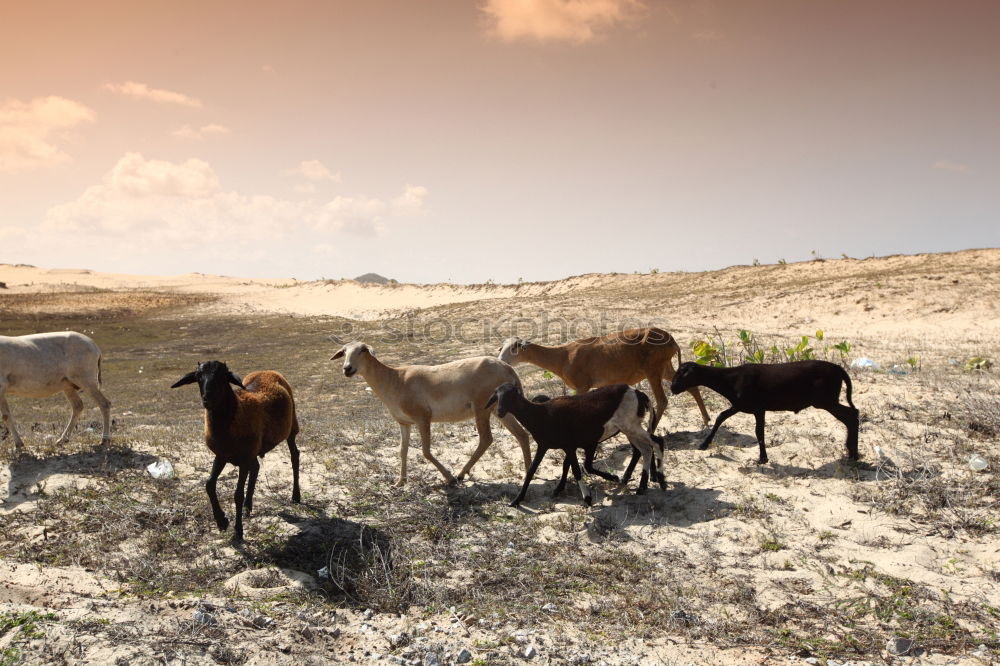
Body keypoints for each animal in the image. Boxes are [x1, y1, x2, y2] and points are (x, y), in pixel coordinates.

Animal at [668, 358, 856, 462]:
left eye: (682, 374)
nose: (672, 388)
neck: (730, 379)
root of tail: (839, 369)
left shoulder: (754, 407)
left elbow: (758, 431)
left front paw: (762, 458)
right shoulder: (748, 407)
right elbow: (722, 417)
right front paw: (704, 444)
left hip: (826, 400)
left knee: (852, 415)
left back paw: (853, 453)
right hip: (827, 401)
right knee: (850, 416)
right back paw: (852, 452)